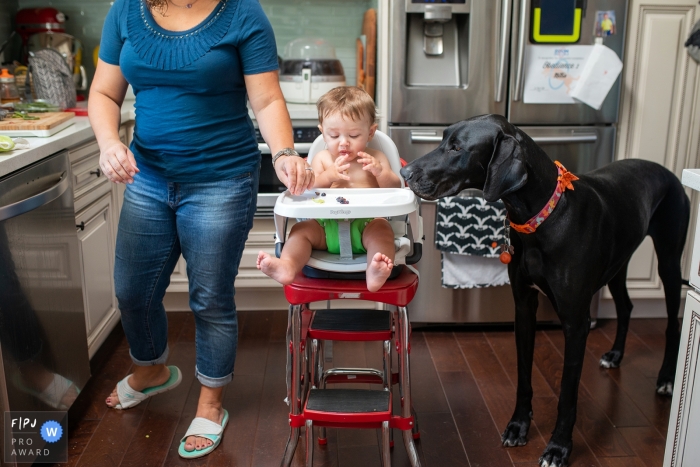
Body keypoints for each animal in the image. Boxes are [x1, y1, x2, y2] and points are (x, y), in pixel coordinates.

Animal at [400, 114, 688, 467]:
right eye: (442, 140)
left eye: (456, 148)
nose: (405, 174)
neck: (541, 217)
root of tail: (666, 170)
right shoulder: (524, 306)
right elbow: (524, 377)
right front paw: (518, 426)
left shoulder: (576, 323)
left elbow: (567, 392)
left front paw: (558, 447)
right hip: (618, 264)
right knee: (626, 307)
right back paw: (616, 355)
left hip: (669, 262)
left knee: (673, 322)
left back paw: (666, 379)